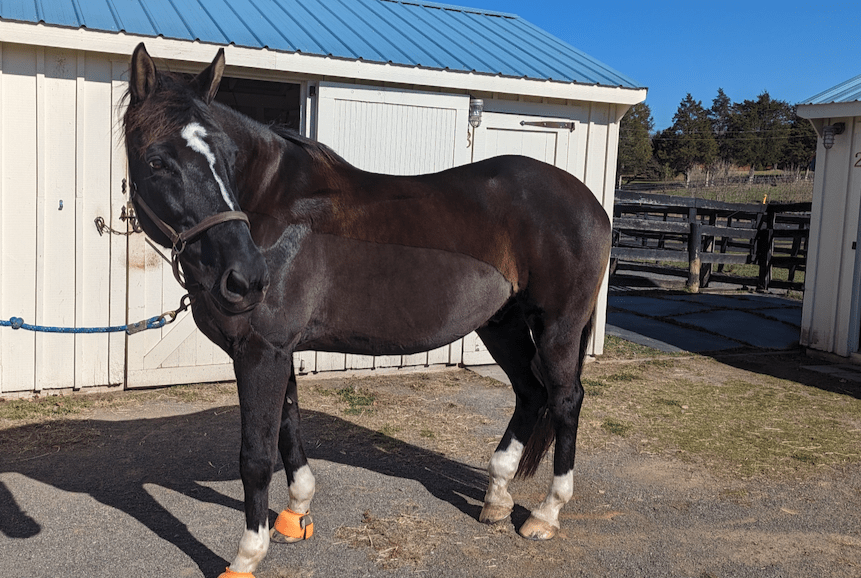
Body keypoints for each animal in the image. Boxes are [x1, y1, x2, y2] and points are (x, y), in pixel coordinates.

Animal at [123, 43, 611, 577]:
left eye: (228, 159)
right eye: (156, 161)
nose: (246, 278)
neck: (272, 209)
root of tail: (590, 202)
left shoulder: (259, 352)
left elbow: (256, 455)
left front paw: (247, 555)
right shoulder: (278, 352)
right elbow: (288, 429)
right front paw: (295, 515)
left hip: (558, 327)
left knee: (564, 399)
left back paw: (545, 514)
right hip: (500, 324)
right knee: (529, 392)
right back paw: (497, 498)